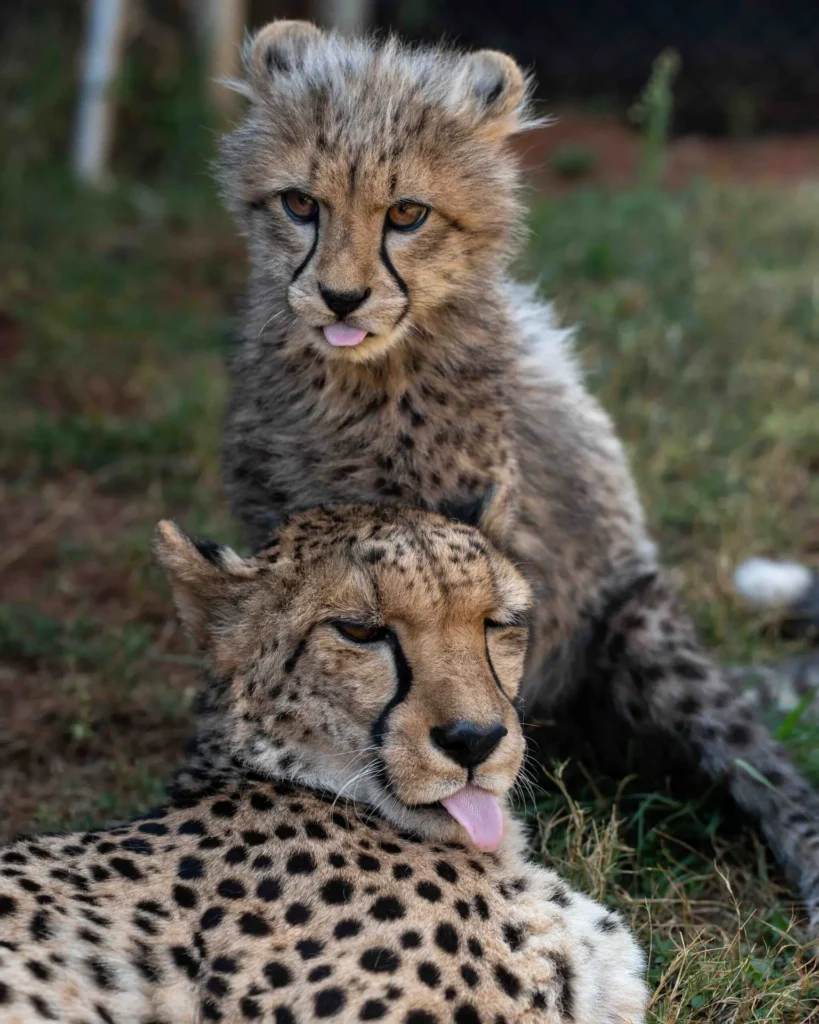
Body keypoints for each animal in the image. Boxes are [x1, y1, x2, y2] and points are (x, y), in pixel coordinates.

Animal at [217, 20, 819, 936]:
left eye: (406, 213)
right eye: (299, 205)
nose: (340, 299)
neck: (360, 381)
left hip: (640, 631)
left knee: (760, 760)